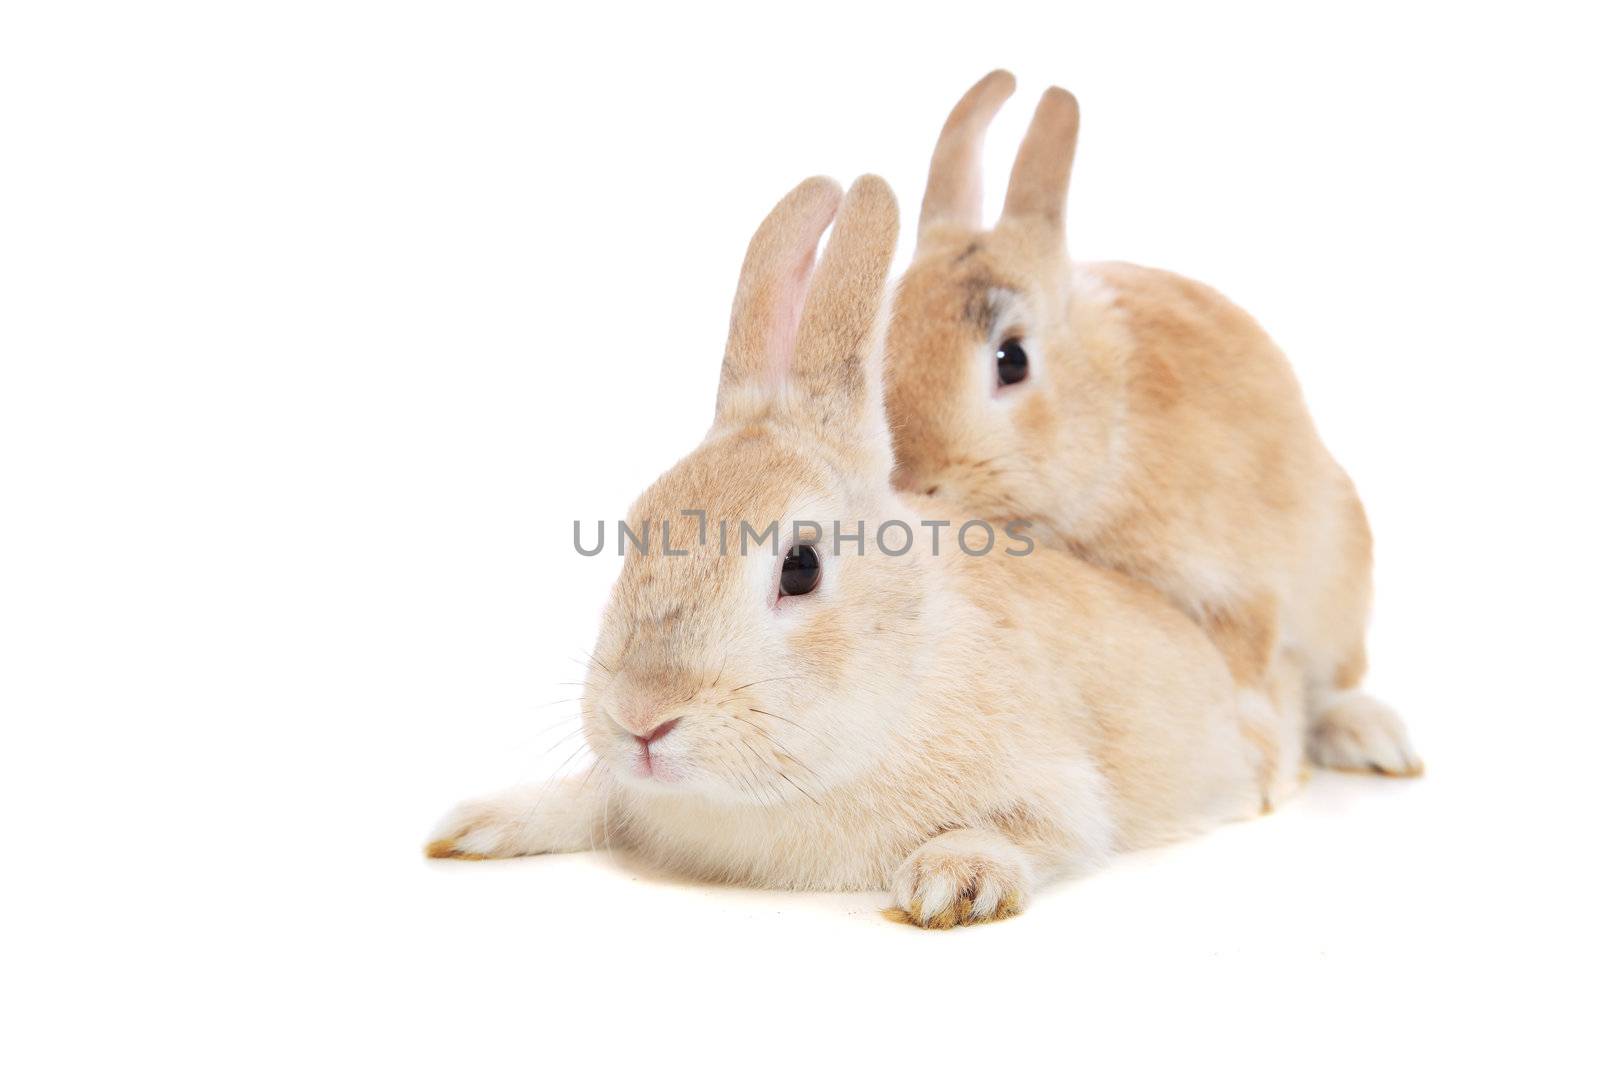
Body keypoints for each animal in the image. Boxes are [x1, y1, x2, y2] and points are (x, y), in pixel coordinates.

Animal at [425, 175, 1273, 927]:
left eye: (800, 567)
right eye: (634, 527)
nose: (641, 717)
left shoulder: (1061, 791)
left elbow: (1033, 829)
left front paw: (951, 881)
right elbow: (588, 797)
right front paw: (476, 823)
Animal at [889, 70, 1427, 806]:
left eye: (1012, 359)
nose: (914, 477)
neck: (1111, 427)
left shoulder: (1239, 585)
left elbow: (1249, 672)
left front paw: (1262, 774)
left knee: (1333, 681)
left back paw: (1373, 740)